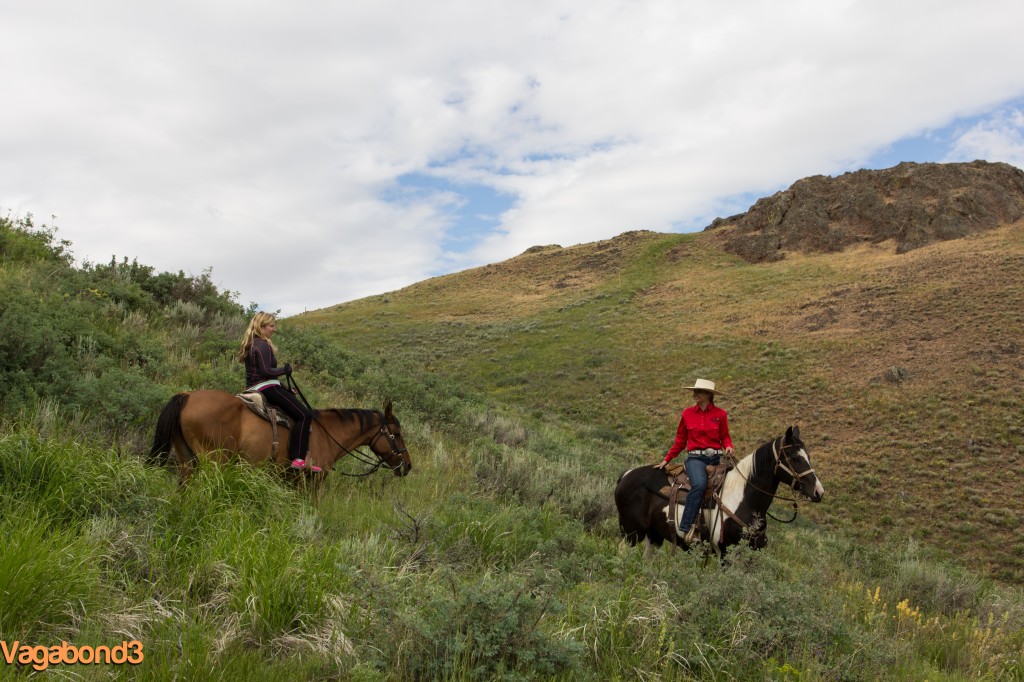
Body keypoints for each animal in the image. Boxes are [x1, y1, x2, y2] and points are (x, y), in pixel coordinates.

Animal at [614, 425, 823, 552]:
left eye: (808, 456)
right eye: (795, 458)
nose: (818, 492)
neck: (745, 500)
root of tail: (626, 474)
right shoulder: (726, 552)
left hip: (654, 535)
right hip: (631, 533)